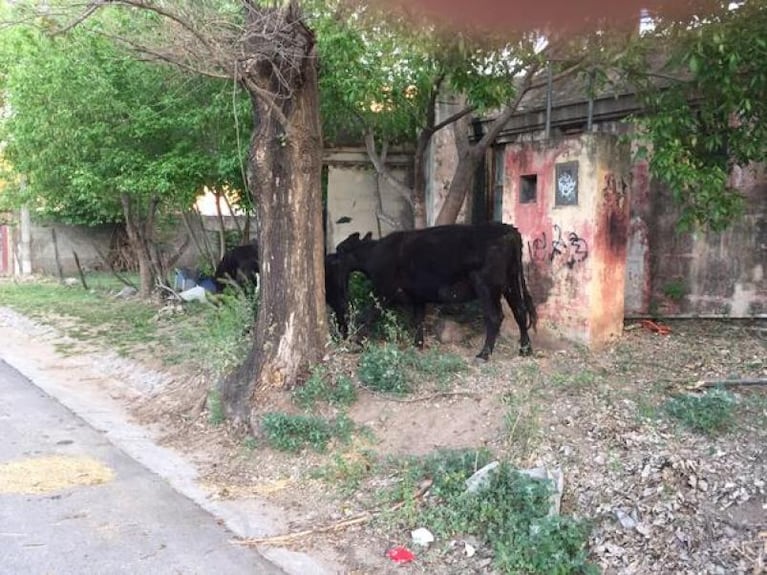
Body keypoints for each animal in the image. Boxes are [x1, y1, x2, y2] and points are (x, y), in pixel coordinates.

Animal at [332, 223, 536, 358]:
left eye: (339, 250)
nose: (330, 258)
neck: (375, 253)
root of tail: (509, 230)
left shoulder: (383, 291)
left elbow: (366, 316)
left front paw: (356, 341)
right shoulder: (417, 296)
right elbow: (418, 320)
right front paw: (418, 345)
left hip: (486, 285)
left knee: (495, 316)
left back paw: (484, 354)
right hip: (510, 283)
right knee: (520, 312)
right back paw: (525, 350)